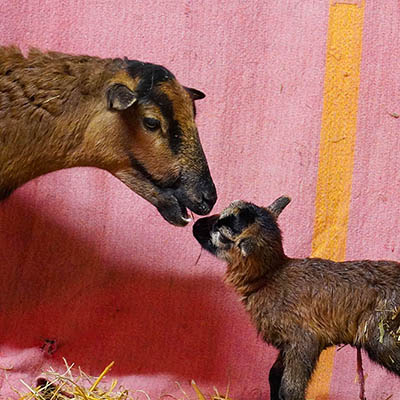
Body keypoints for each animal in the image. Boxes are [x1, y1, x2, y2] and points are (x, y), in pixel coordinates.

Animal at [192, 198, 398, 400]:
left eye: (223, 236)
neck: (269, 277)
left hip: (385, 338)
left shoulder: (304, 340)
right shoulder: (286, 343)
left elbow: (290, 389)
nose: (196, 225)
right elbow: (274, 376)